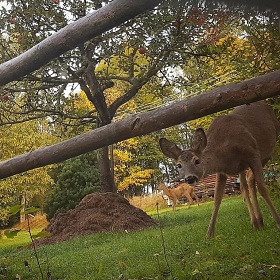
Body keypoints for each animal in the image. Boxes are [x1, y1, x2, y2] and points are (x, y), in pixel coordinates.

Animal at [160, 100, 280, 236]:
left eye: (197, 160)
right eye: (179, 165)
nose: (190, 178)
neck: (224, 151)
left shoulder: (253, 153)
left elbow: (263, 188)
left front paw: (278, 222)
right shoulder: (222, 171)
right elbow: (217, 198)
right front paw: (209, 234)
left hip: (267, 151)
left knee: (251, 182)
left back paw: (259, 221)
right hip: (245, 166)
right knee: (246, 184)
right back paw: (257, 222)